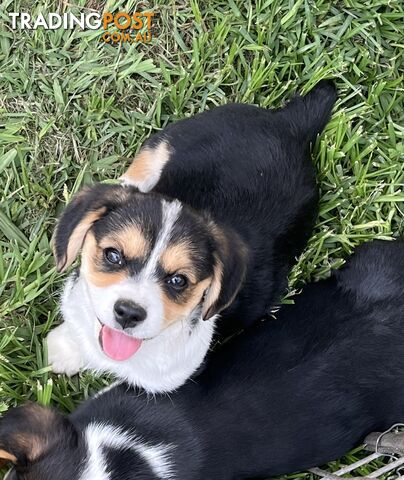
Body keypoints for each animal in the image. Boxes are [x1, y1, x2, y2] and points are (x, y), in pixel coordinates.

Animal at [45, 80, 336, 392]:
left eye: (178, 281)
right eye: (113, 255)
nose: (129, 313)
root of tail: (291, 126)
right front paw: (63, 349)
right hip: (165, 143)